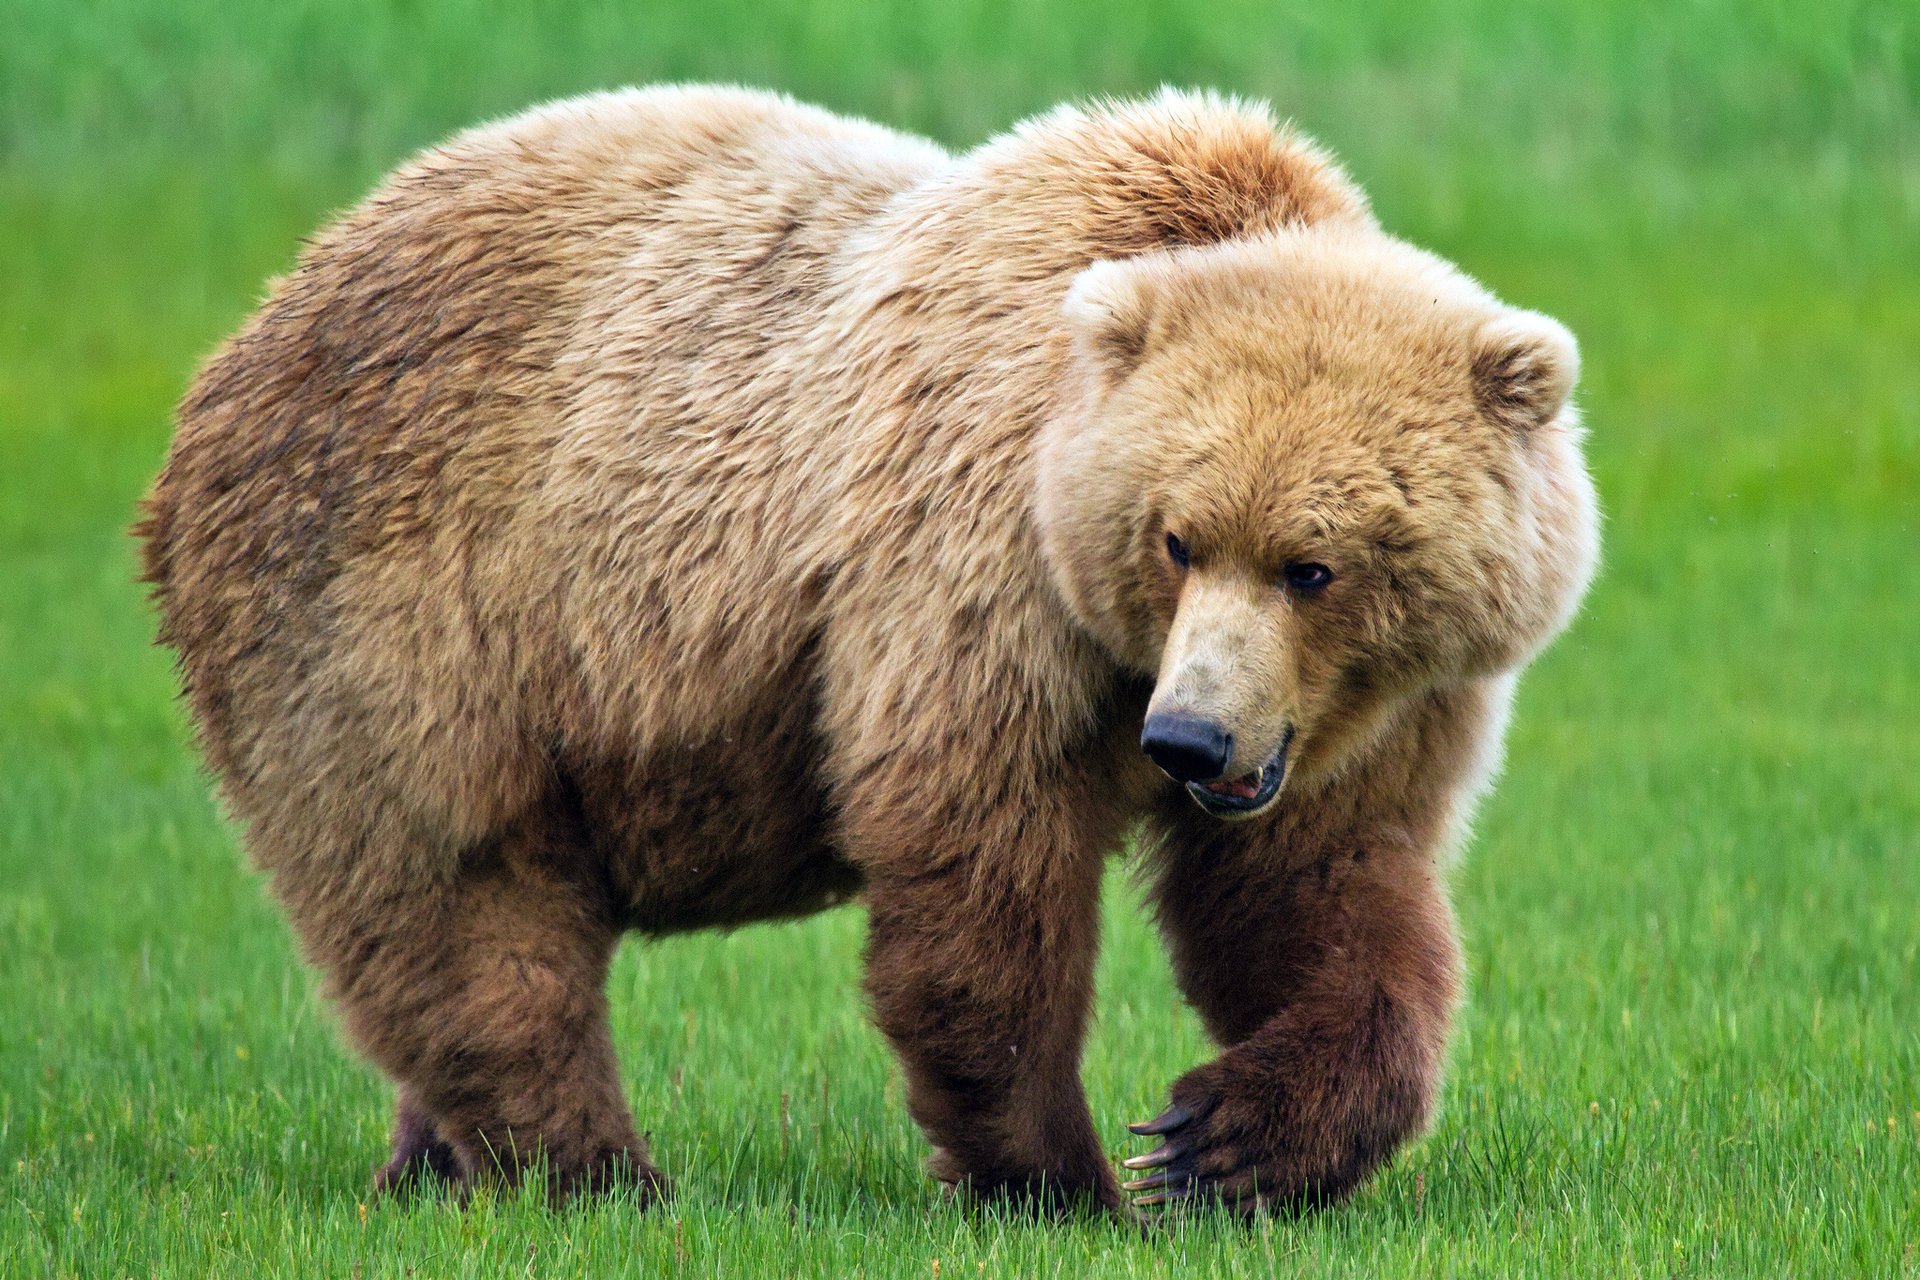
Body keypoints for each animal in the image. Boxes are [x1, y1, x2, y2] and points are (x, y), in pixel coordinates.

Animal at [138, 85, 1598, 1217]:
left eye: (1315, 565)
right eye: (1178, 538)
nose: (1187, 742)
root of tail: (253, 325)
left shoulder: (1371, 706)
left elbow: (1323, 890)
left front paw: (1220, 1139)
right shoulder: (976, 561)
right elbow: (978, 859)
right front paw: (1063, 1177)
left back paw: (432, 1165)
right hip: (403, 603)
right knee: (464, 895)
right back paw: (597, 1172)